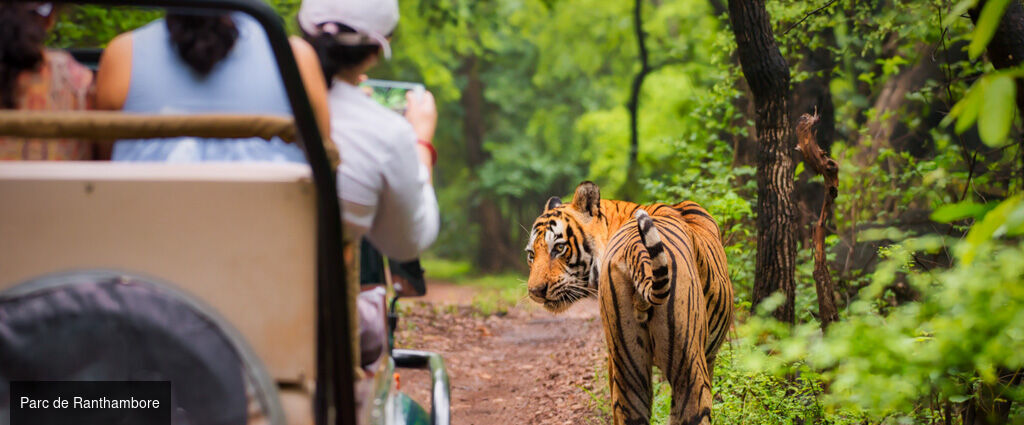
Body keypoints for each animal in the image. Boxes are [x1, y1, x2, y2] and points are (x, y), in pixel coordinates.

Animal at [525, 181, 734, 425]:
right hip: (689, 367)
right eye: (531, 254)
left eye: (559, 248)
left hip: (627, 364)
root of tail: (637, 249)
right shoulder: (708, 357)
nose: (535, 292)